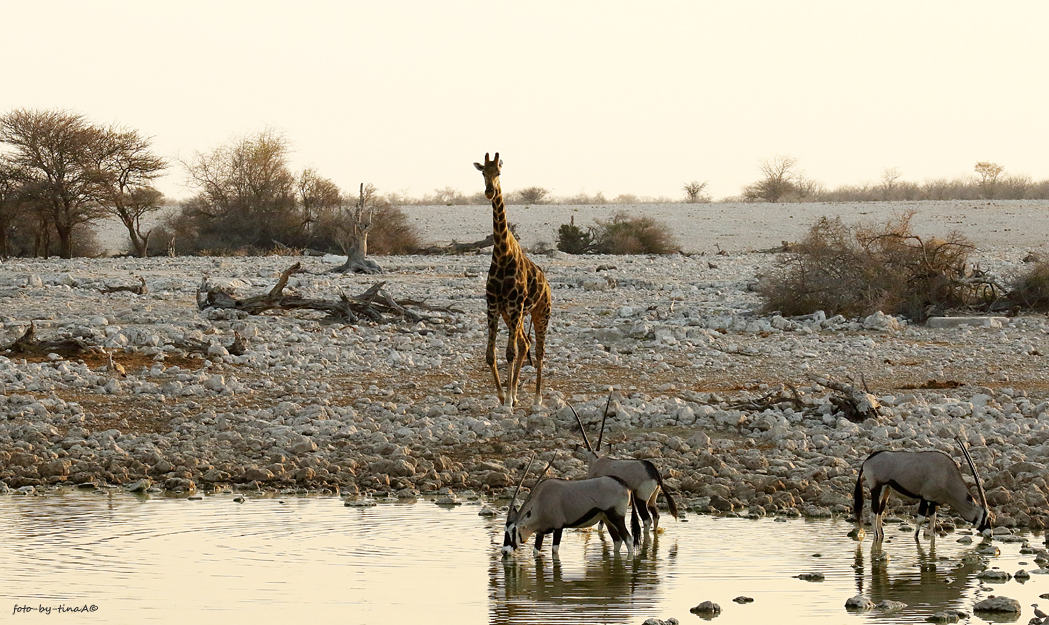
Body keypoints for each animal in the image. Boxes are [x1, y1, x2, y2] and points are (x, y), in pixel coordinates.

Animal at [476, 153, 553, 411]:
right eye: (483, 172)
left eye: (498, 172)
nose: (489, 191)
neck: (502, 253)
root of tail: (547, 285)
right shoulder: (493, 305)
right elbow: (491, 354)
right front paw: (503, 396)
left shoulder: (515, 305)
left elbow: (509, 352)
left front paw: (508, 399)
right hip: (512, 315)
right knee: (525, 344)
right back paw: (518, 393)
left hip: (540, 313)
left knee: (538, 351)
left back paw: (537, 398)